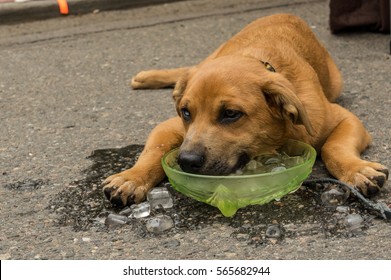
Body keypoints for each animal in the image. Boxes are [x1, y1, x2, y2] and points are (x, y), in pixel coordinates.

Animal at [103, 13, 388, 206]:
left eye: (230, 114)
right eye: (185, 113)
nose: (187, 161)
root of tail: (285, 14)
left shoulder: (344, 119)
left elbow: (334, 147)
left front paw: (356, 170)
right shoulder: (169, 126)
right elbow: (152, 152)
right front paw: (131, 177)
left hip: (336, 82)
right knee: (188, 69)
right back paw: (147, 77)